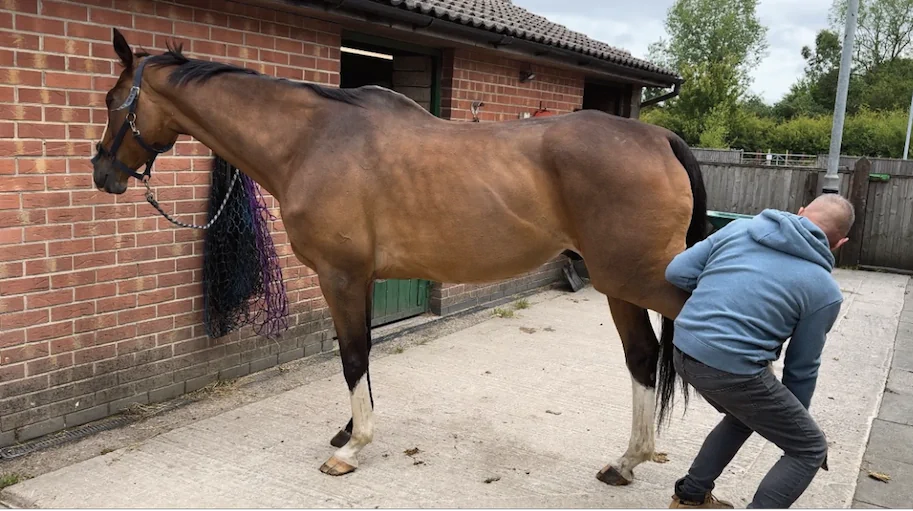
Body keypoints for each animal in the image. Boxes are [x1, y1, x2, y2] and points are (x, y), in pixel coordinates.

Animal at [91, 28, 707, 485]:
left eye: (112, 101)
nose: (103, 173)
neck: (312, 140)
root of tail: (660, 139)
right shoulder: (360, 279)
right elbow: (360, 353)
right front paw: (348, 431)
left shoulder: (340, 276)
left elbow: (352, 356)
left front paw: (350, 450)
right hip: (618, 284)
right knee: (641, 357)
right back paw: (626, 462)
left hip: (637, 279)